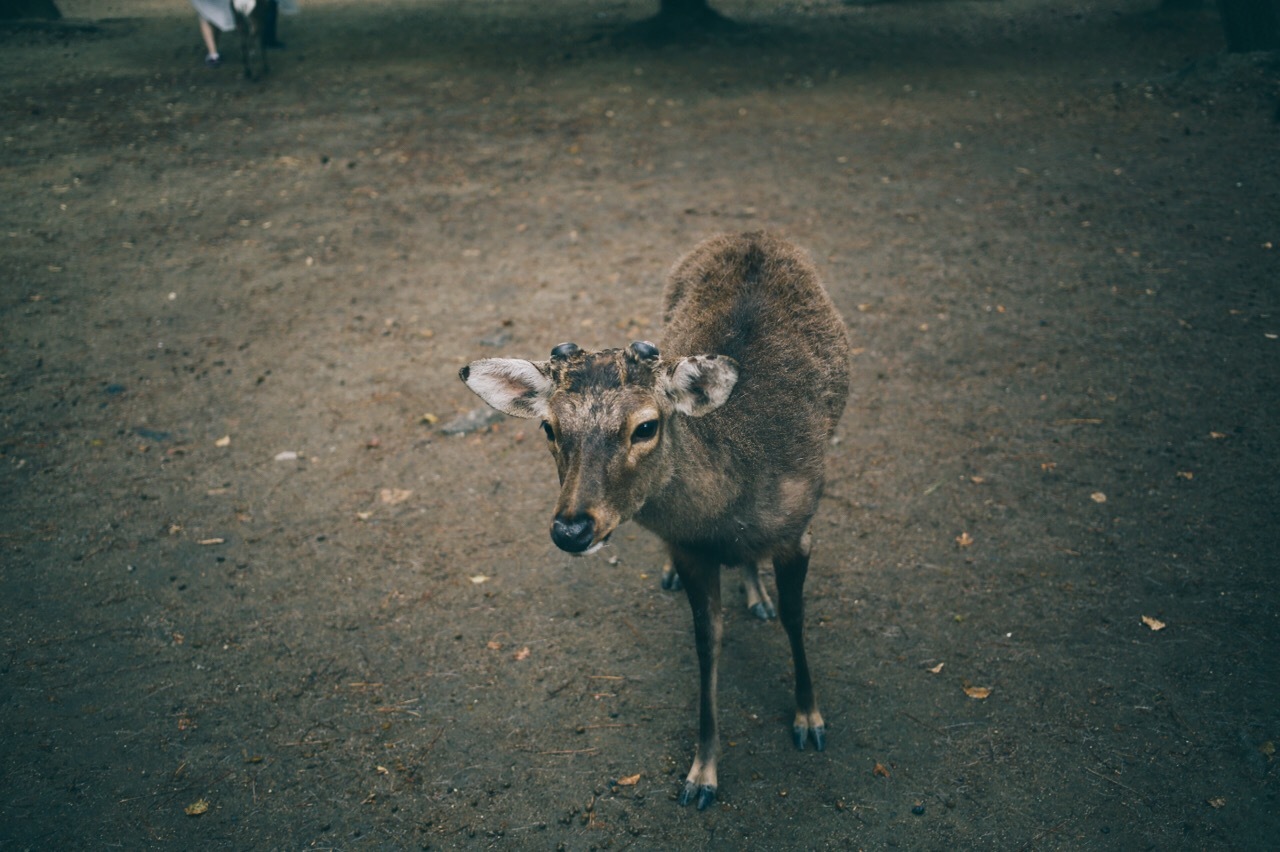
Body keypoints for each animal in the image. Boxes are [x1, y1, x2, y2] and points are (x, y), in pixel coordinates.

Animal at [460, 228, 849, 808]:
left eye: (645, 426)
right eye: (549, 427)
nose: (571, 528)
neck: (728, 506)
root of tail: (750, 234)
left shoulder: (798, 530)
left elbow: (795, 618)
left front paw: (809, 719)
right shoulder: (690, 549)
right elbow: (707, 643)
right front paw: (702, 774)